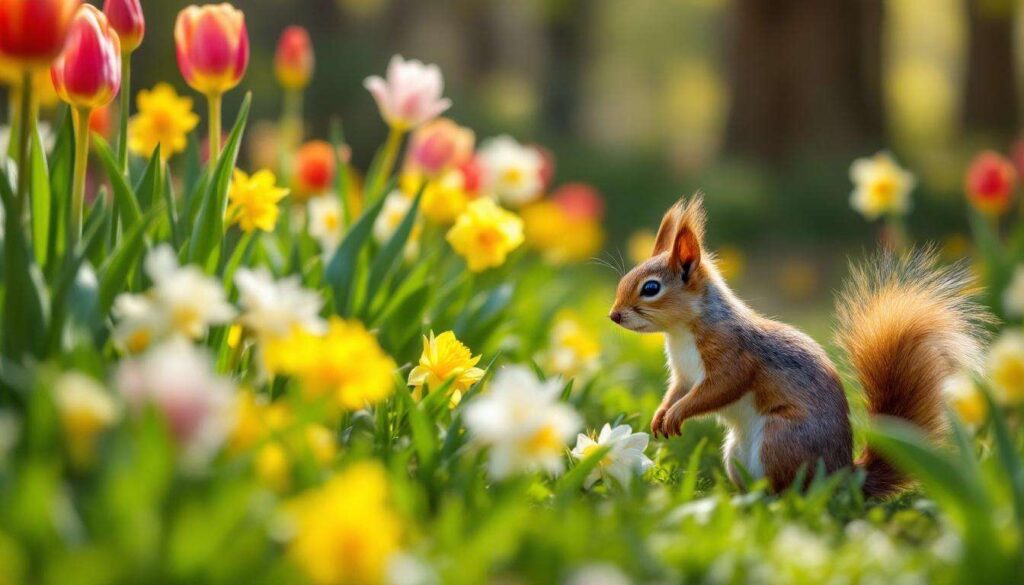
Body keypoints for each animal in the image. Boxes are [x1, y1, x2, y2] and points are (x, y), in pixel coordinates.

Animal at [609, 195, 991, 497]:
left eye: (651, 288)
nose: (613, 315)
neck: (681, 333)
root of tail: (841, 478)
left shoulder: (733, 355)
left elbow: (719, 389)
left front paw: (678, 413)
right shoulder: (684, 375)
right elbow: (677, 390)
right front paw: (662, 413)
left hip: (781, 439)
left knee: (791, 493)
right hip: (736, 454)